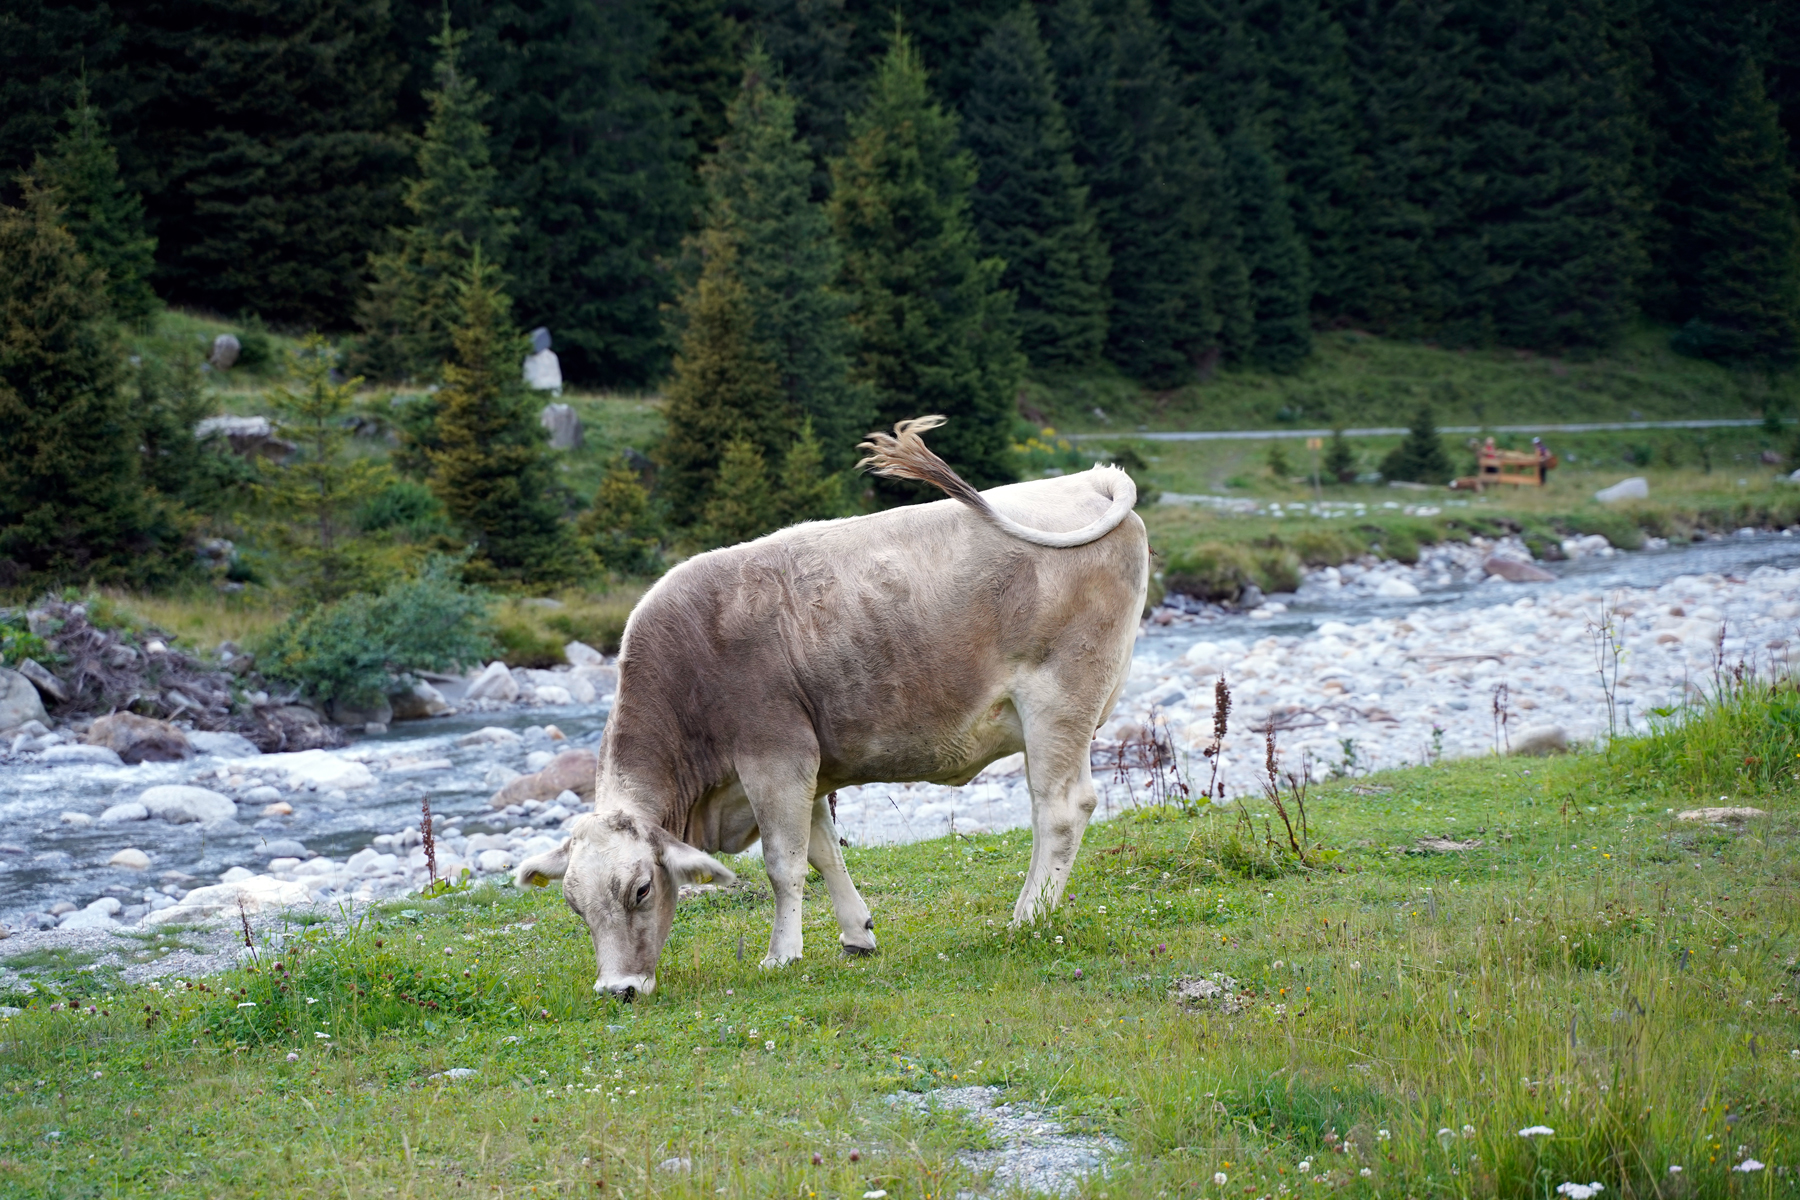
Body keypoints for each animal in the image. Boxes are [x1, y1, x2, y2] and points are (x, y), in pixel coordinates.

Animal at [514, 417, 1144, 1000]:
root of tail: (1091, 478)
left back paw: (1028, 917)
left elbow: (783, 861)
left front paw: (781, 954)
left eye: (641, 889)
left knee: (1059, 809)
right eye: (574, 905)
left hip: (1060, 699)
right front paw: (856, 933)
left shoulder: (775, 754)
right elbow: (823, 851)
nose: (617, 989)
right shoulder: (807, 766)